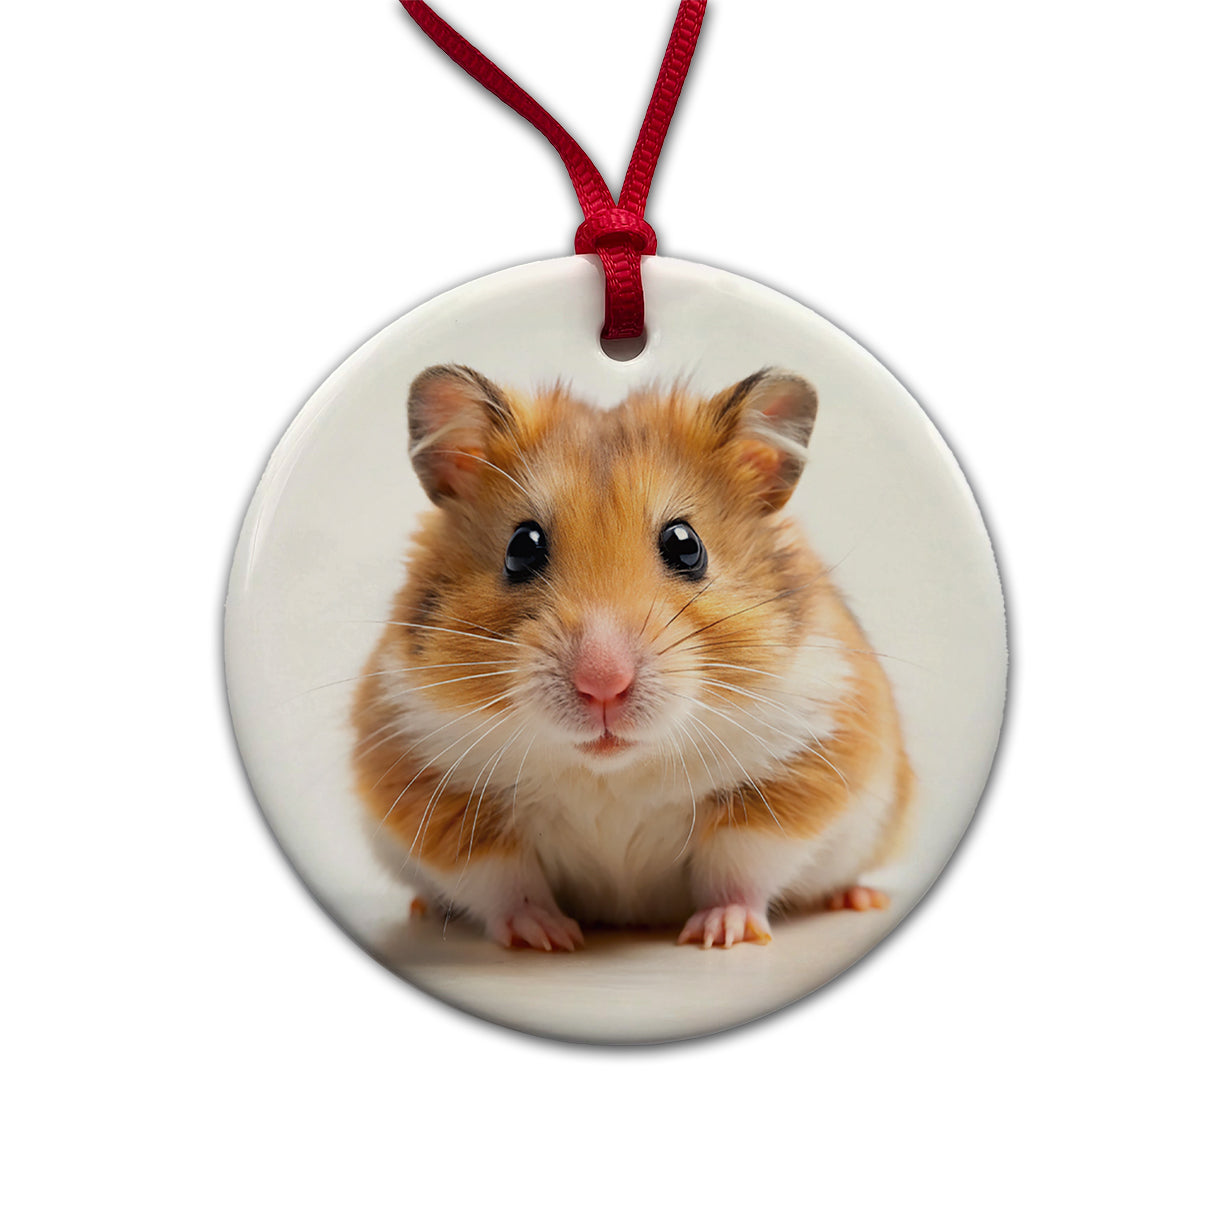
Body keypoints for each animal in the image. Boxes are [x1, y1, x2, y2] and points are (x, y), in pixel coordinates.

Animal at [351, 364, 913, 950]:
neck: (613, 769)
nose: (603, 685)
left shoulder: (795, 770)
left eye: (687, 545)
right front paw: (547, 939)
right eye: (521, 547)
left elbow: (739, 865)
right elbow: (504, 880)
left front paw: (719, 934)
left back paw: (858, 898)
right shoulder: (430, 781)